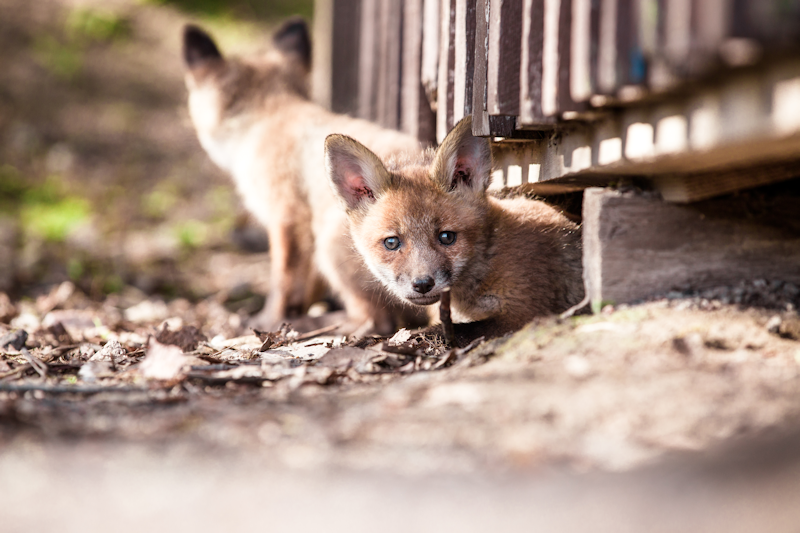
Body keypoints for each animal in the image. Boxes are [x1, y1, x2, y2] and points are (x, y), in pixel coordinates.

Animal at [184, 18, 428, 330]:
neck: (272, 112)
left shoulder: (287, 216)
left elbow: (283, 280)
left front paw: (270, 321)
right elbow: (307, 286)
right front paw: (295, 311)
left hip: (330, 245)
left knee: (377, 322)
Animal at [324, 115, 580, 336]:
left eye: (446, 237)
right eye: (392, 242)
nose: (423, 284)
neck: (489, 256)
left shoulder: (526, 312)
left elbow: (447, 330)